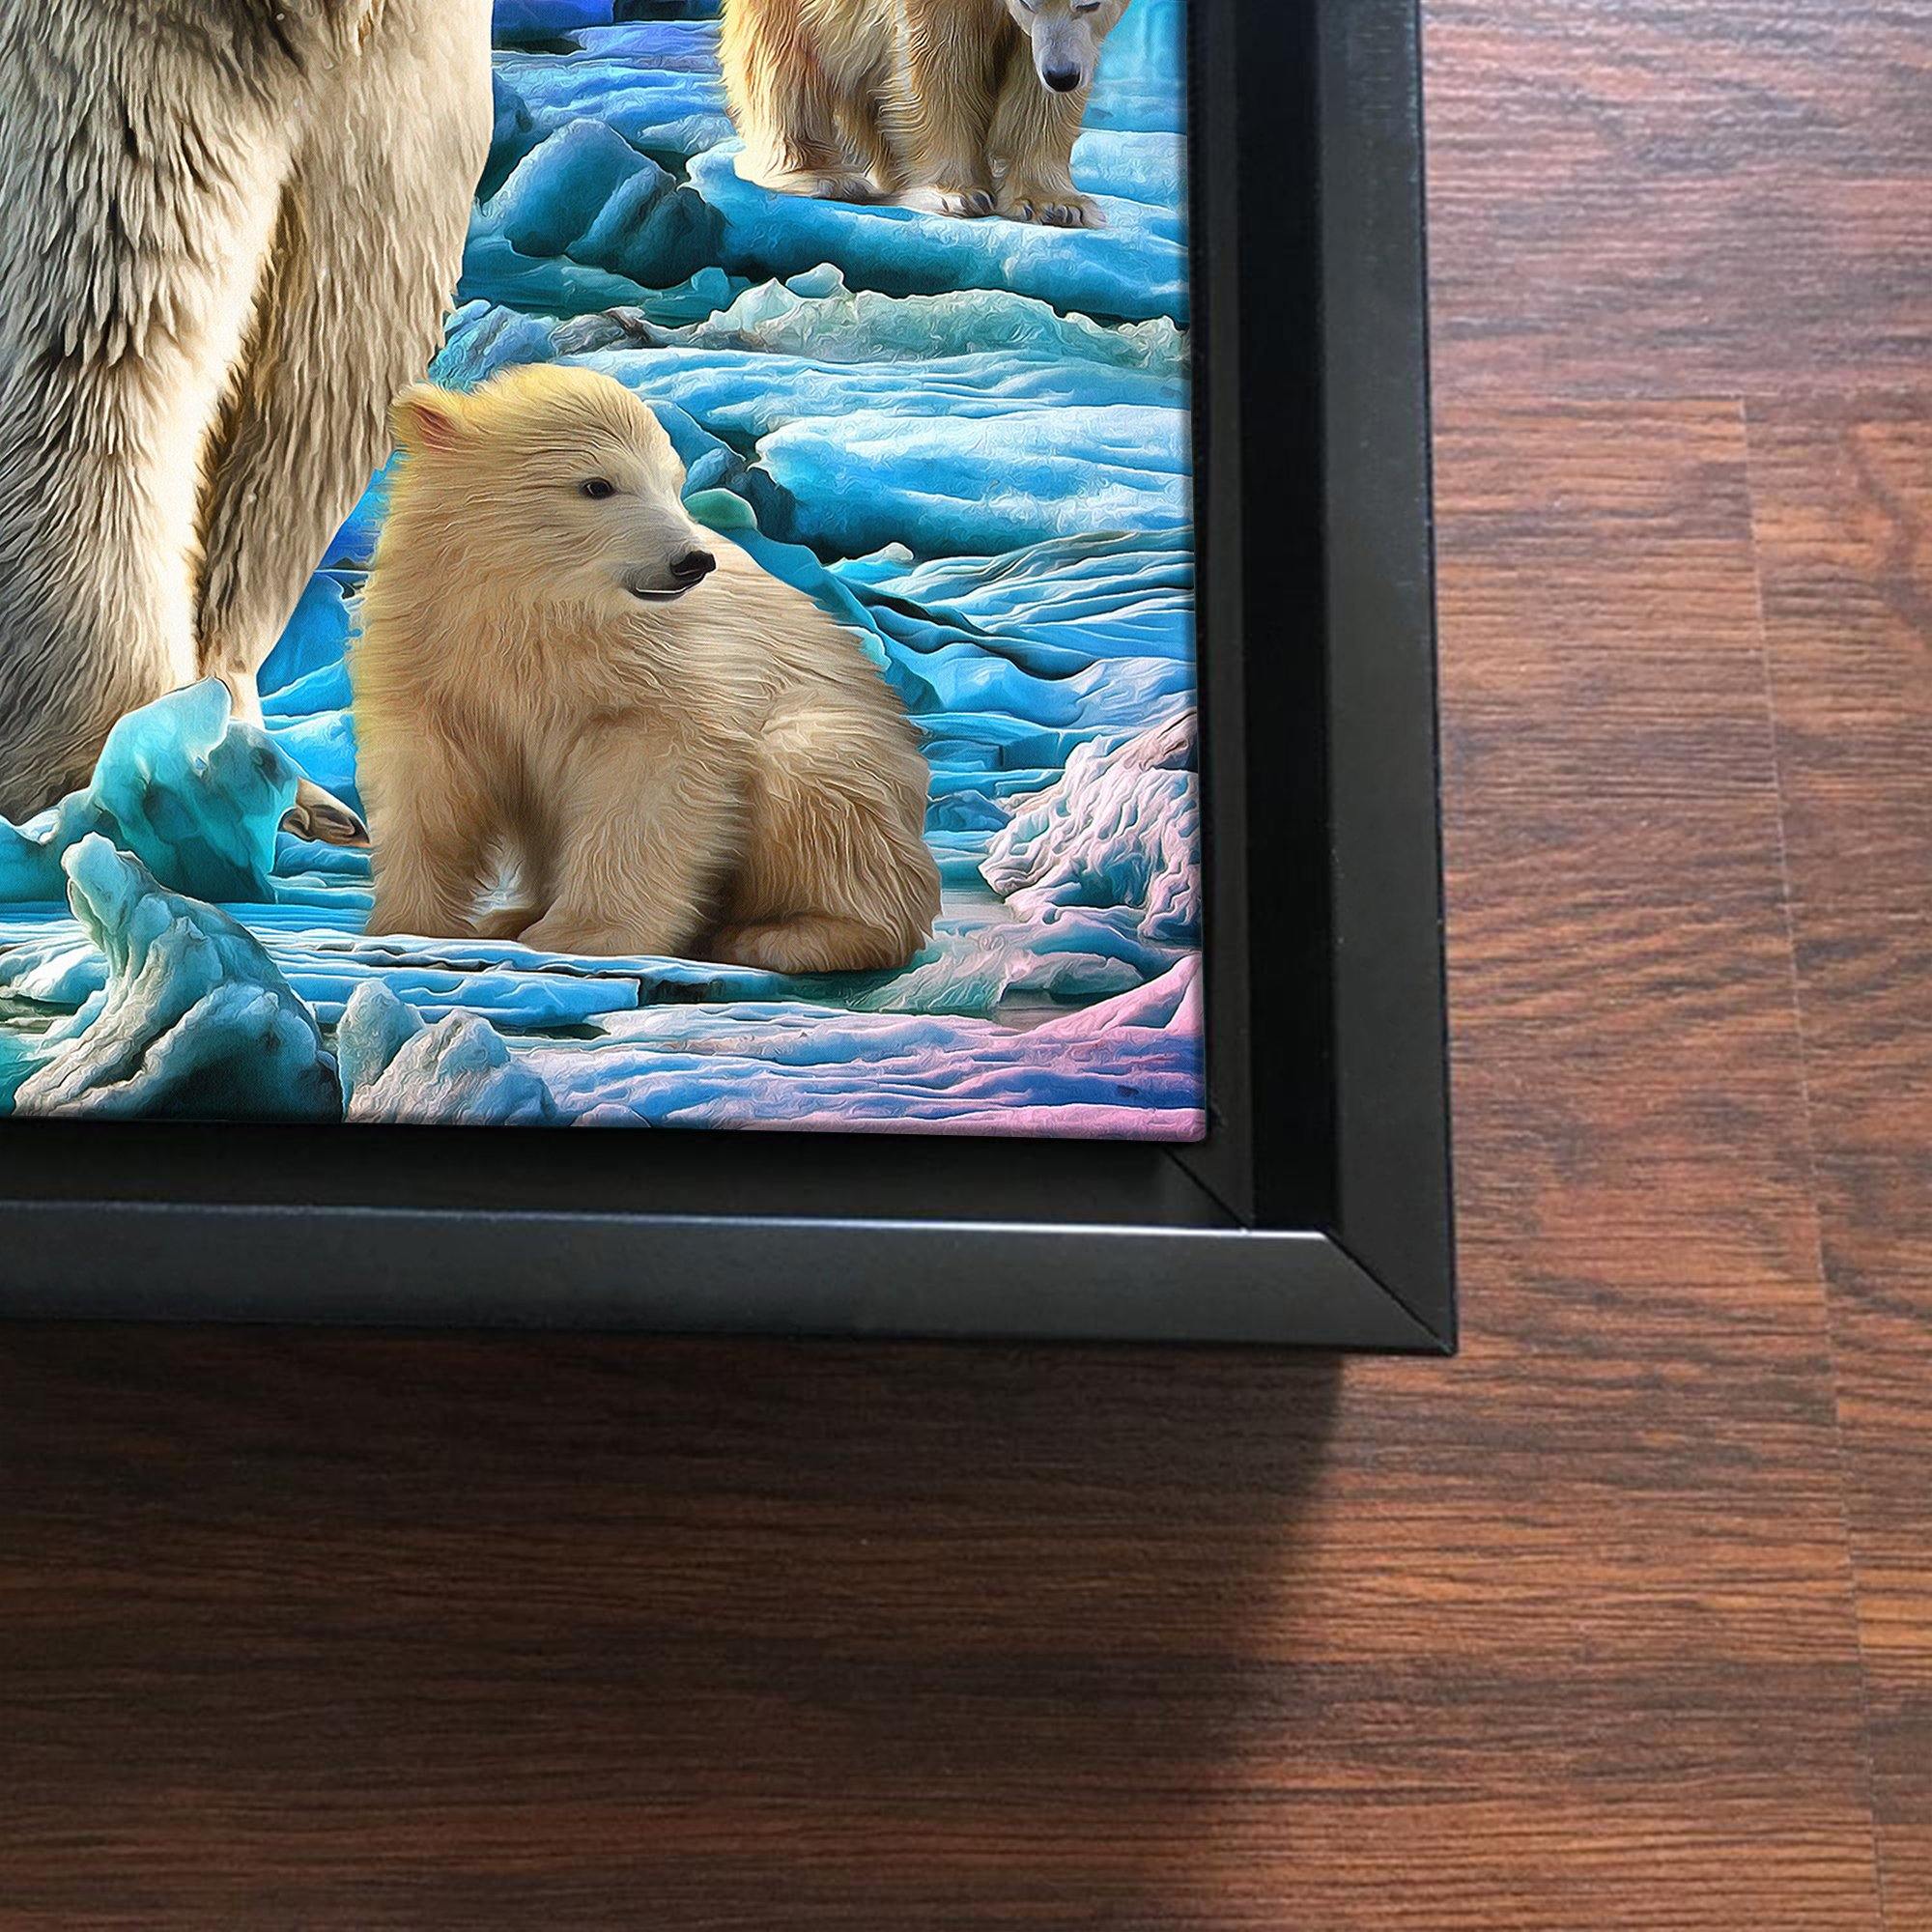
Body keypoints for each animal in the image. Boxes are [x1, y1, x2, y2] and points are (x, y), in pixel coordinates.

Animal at [0, 0, 494, 842]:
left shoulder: (393, 94)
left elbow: (322, 376)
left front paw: (277, 783)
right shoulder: (110, 70)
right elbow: (102, 332)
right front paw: (123, 778)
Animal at [352, 364, 943, 976]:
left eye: (673, 483)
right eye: (597, 485)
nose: (692, 561)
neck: (536, 605)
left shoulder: (660, 664)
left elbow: (647, 782)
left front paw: (586, 934)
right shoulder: (435, 647)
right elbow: (428, 782)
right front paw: (409, 923)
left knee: (814, 773)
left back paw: (791, 936)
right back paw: (511, 915)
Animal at [720, 0, 1127, 227]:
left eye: (1089, 4)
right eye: (1029, 0)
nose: (1061, 75)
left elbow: (1036, 87)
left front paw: (1058, 206)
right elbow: (939, 61)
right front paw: (954, 195)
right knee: (784, 64)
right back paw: (824, 176)